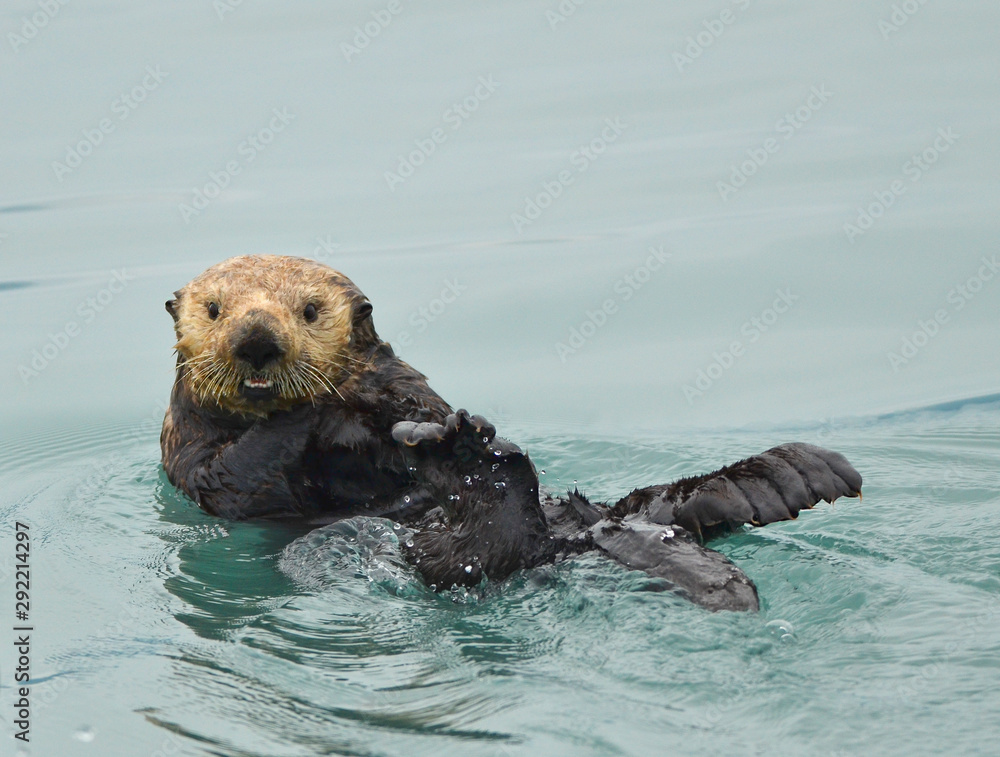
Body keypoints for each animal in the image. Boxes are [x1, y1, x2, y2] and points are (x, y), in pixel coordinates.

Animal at [161, 255, 862, 611]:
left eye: (309, 311)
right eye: (215, 310)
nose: (257, 340)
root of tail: (583, 533)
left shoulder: (415, 393)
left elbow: (409, 400)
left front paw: (383, 405)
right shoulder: (187, 446)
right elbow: (229, 477)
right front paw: (319, 406)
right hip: (433, 556)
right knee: (483, 553)